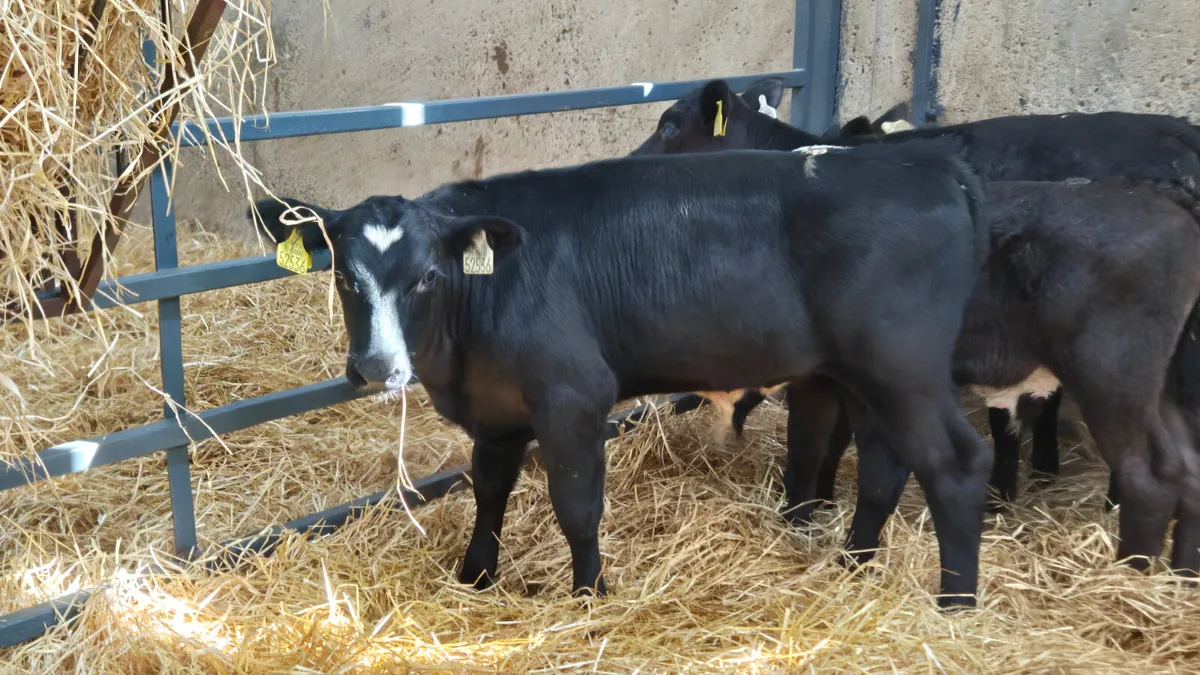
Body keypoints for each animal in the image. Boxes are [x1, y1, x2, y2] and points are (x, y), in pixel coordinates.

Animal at [250, 141, 997, 607]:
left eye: (429, 276)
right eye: (344, 277)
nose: (374, 366)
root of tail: (930, 165)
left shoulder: (572, 395)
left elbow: (577, 507)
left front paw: (589, 596)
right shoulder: (498, 411)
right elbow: (488, 492)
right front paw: (475, 576)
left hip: (904, 369)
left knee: (957, 464)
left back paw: (955, 603)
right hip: (867, 377)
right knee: (885, 467)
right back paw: (855, 563)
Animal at [631, 80, 1200, 578]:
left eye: (669, 124)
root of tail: (1163, 195)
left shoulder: (824, 378)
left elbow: (810, 446)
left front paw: (800, 515)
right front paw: (816, 510)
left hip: (1111, 369)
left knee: (1148, 476)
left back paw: (1130, 579)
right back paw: (1180, 575)